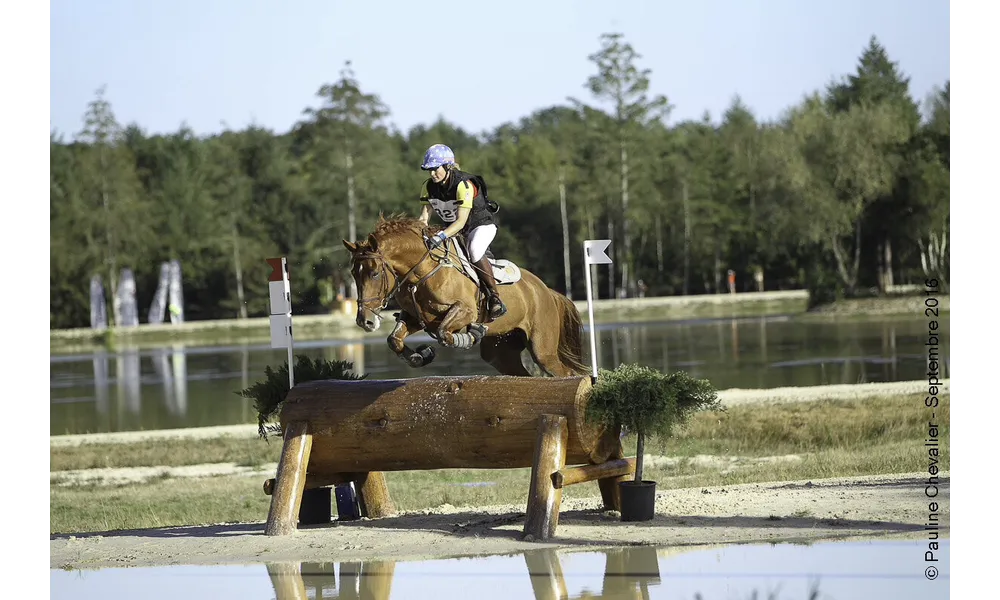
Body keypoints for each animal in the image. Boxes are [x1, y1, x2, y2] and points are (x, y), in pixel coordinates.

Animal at [344, 213, 592, 378]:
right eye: (353, 274)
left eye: (375, 273)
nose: (364, 321)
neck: (422, 271)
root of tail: (547, 291)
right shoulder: (418, 318)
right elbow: (394, 339)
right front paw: (420, 356)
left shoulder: (464, 310)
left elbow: (444, 332)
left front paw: (468, 336)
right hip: (501, 353)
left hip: (543, 348)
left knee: (564, 373)